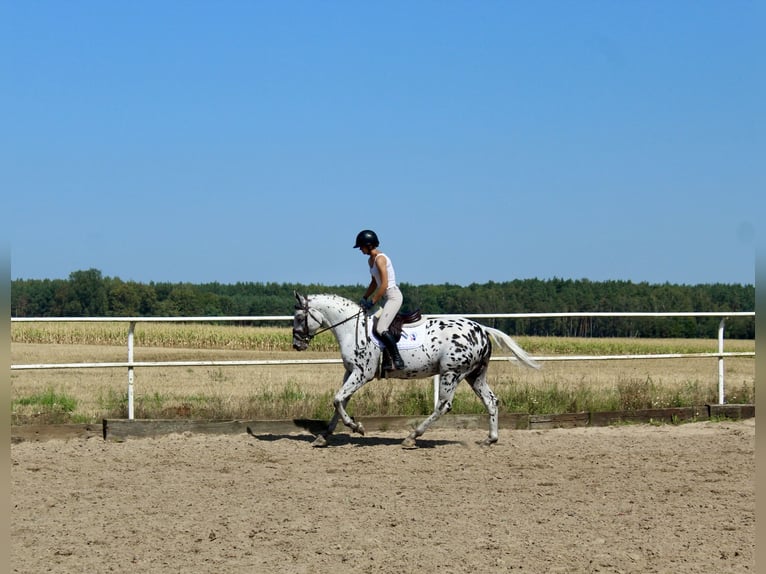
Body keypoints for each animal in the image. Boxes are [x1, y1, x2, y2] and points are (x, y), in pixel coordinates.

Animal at [292, 292, 540, 450]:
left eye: (299, 317)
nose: (297, 345)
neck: (352, 328)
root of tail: (482, 328)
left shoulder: (362, 374)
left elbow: (337, 399)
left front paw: (356, 426)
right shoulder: (351, 372)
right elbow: (341, 400)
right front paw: (324, 436)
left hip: (452, 373)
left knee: (443, 405)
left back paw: (412, 437)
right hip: (474, 375)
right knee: (491, 401)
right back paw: (490, 439)